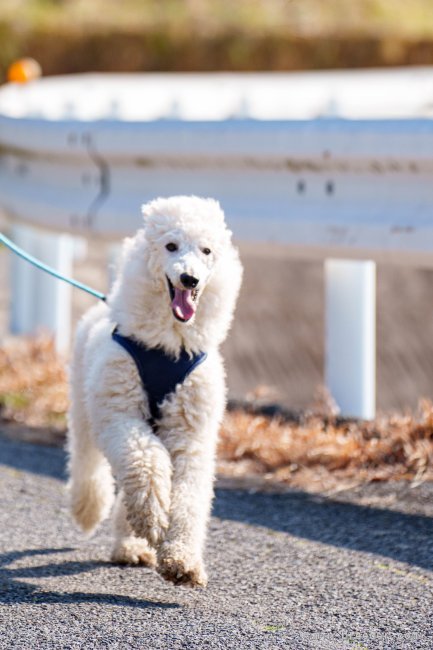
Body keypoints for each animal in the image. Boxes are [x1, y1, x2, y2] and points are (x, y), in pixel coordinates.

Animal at [67, 195, 243, 584]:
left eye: (207, 250)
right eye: (171, 246)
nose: (189, 278)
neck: (170, 344)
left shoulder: (191, 433)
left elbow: (189, 497)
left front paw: (181, 559)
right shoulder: (120, 415)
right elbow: (146, 461)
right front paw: (152, 517)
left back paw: (132, 546)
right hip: (86, 409)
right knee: (88, 461)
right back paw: (91, 511)